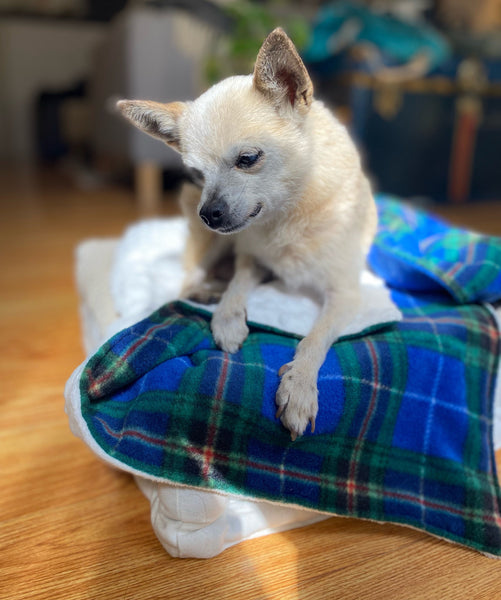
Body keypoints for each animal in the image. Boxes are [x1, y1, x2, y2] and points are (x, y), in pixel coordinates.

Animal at [116, 28, 376, 438]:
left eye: (248, 159)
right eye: (197, 174)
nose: (208, 213)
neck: (285, 217)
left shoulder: (346, 294)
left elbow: (316, 338)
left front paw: (299, 386)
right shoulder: (249, 258)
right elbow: (238, 285)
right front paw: (227, 318)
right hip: (213, 246)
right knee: (188, 279)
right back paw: (207, 291)